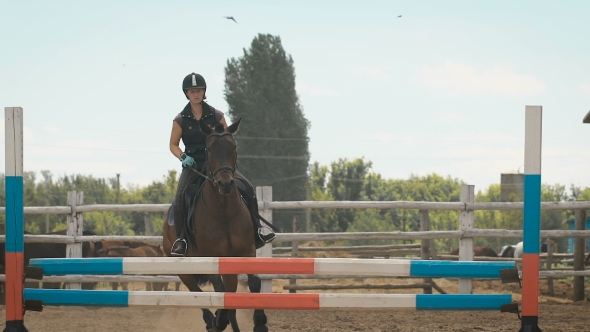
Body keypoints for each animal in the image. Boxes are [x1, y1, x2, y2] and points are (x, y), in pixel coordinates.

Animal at [164, 118, 270, 332]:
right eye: (209, 148)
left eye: (233, 147)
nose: (225, 184)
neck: (223, 211)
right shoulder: (211, 256)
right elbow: (219, 291)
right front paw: (220, 319)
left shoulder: (246, 251)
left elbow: (254, 283)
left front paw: (260, 323)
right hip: (184, 269)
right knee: (196, 292)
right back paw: (212, 321)